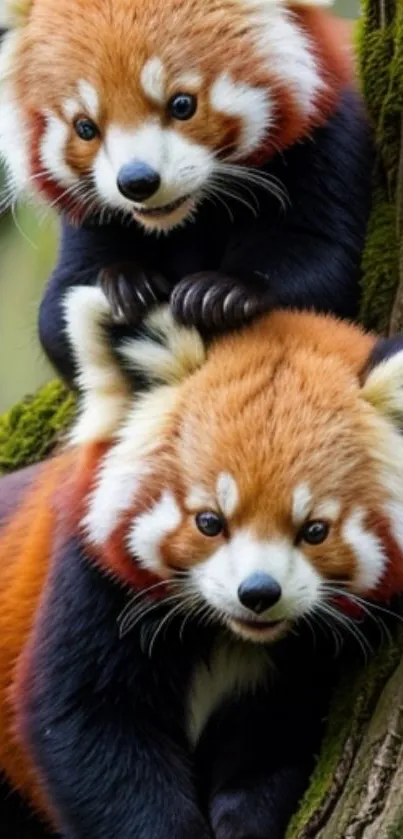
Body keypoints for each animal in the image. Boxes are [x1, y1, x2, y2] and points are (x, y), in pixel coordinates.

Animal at [0, 1, 372, 382]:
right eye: (85, 128)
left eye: (181, 105)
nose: (137, 181)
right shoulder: (92, 212)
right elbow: (58, 311)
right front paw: (124, 285)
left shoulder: (327, 143)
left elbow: (324, 260)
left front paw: (223, 291)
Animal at [0, 290, 403, 839]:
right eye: (210, 521)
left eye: (315, 530)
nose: (259, 593)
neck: (226, 634)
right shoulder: (90, 585)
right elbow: (83, 725)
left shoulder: (298, 668)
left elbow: (274, 742)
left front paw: (245, 821)